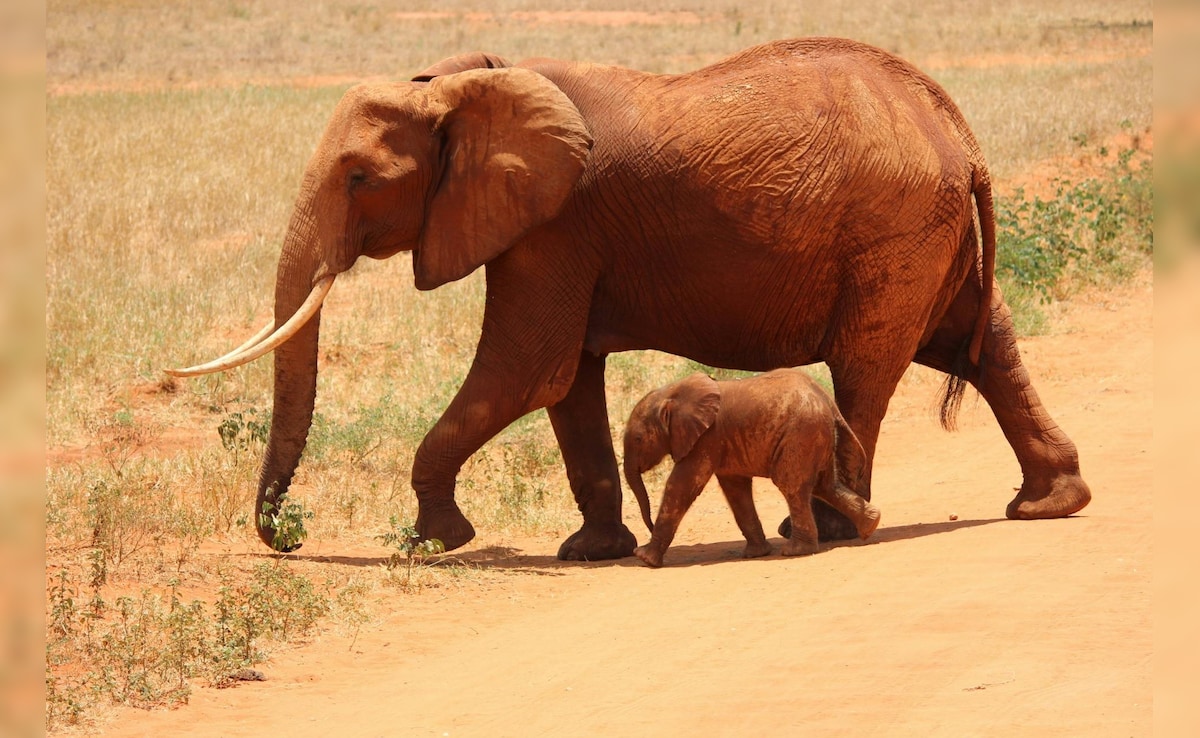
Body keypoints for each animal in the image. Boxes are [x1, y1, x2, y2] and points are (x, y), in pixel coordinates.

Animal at [624, 372, 878, 568]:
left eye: (638, 439)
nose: (648, 526)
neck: (672, 393)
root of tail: (827, 401)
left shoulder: (706, 438)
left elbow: (681, 486)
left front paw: (645, 558)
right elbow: (736, 490)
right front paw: (757, 553)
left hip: (801, 435)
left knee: (792, 486)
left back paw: (796, 551)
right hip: (816, 436)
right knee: (825, 486)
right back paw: (870, 526)